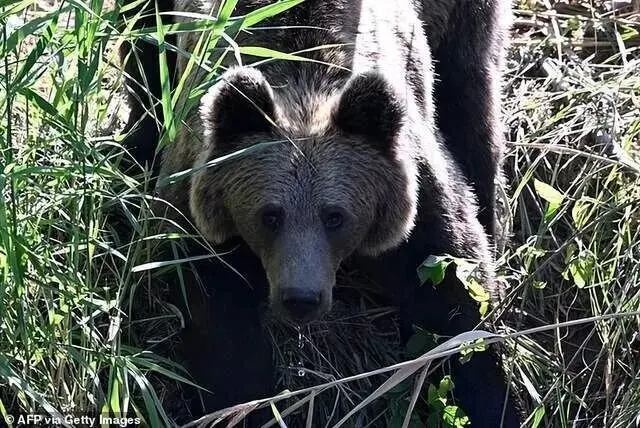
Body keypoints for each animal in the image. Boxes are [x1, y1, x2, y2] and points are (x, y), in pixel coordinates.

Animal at [118, 0, 519, 426]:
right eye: (270, 215)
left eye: (335, 216)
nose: (301, 298)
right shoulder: (199, 214)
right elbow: (219, 317)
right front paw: (247, 406)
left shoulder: (414, 198)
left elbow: (451, 288)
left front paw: (491, 399)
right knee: (144, 52)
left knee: (470, 95)